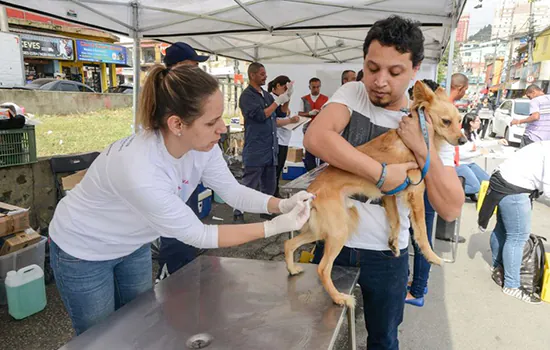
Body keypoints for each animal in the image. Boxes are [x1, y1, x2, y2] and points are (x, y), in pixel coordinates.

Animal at [286, 80, 468, 308]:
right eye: (446, 121)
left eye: (460, 120)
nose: (463, 140)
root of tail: (311, 192)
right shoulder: (415, 192)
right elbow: (422, 232)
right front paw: (432, 256)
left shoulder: (390, 191)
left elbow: (396, 220)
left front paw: (393, 243)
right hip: (339, 230)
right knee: (322, 268)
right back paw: (339, 297)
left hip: (324, 229)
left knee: (289, 244)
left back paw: (292, 269)